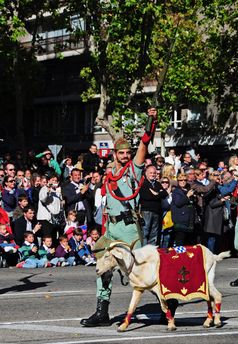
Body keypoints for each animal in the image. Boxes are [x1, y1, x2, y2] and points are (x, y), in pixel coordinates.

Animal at [95, 241, 231, 332]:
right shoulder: (139, 288)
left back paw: (217, 322)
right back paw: (208, 322)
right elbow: (131, 307)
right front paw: (123, 327)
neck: (137, 264)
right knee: (209, 299)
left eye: (107, 256)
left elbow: (164, 307)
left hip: (207, 281)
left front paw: (171, 325)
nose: (97, 270)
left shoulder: (159, 289)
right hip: (206, 283)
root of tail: (213, 256)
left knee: (217, 296)